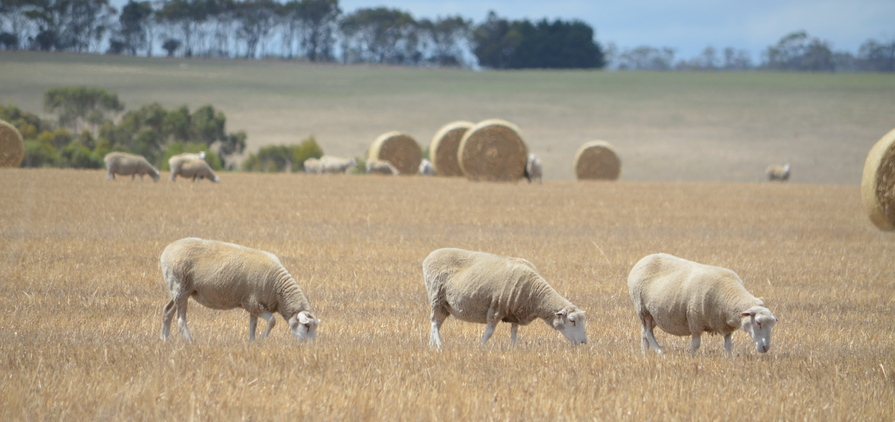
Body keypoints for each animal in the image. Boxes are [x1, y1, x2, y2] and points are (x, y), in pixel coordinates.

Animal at [159, 237, 320, 342]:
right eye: (307, 326)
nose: (310, 347)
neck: (278, 290)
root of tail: (167, 250)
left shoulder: (254, 304)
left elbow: (253, 325)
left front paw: (252, 342)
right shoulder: (253, 303)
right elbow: (272, 321)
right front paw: (261, 339)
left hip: (180, 290)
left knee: (167, 311)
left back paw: (164, 339)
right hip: (179, 286)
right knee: (181, 320)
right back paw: (190, 342)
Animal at [426, 246, 588, 348]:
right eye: (572, 320)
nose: (583, 343)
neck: (535, 295)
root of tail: (429, 256)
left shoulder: (516, 313)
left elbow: (514, 333)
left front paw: (513, 348)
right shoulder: (496, 309)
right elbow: (489, 333)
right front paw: (481, 346)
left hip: (445, 304)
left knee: (437, 324)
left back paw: (432, 344)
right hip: (436, 297)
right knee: (434, 322)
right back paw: (439, 345)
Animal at [632, 254, 776, 356]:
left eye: (772, 325)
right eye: (758, 322)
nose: (765, 348)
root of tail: (644, 259)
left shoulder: (725, 326)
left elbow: (728, 345)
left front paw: (731, 359)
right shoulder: (695, 322)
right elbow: (695, 345)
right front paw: (692, 357)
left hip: (654, 315)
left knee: (644, 332)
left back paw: (645, 352)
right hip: (643, 309)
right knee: (648, 331)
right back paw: (660, 351)